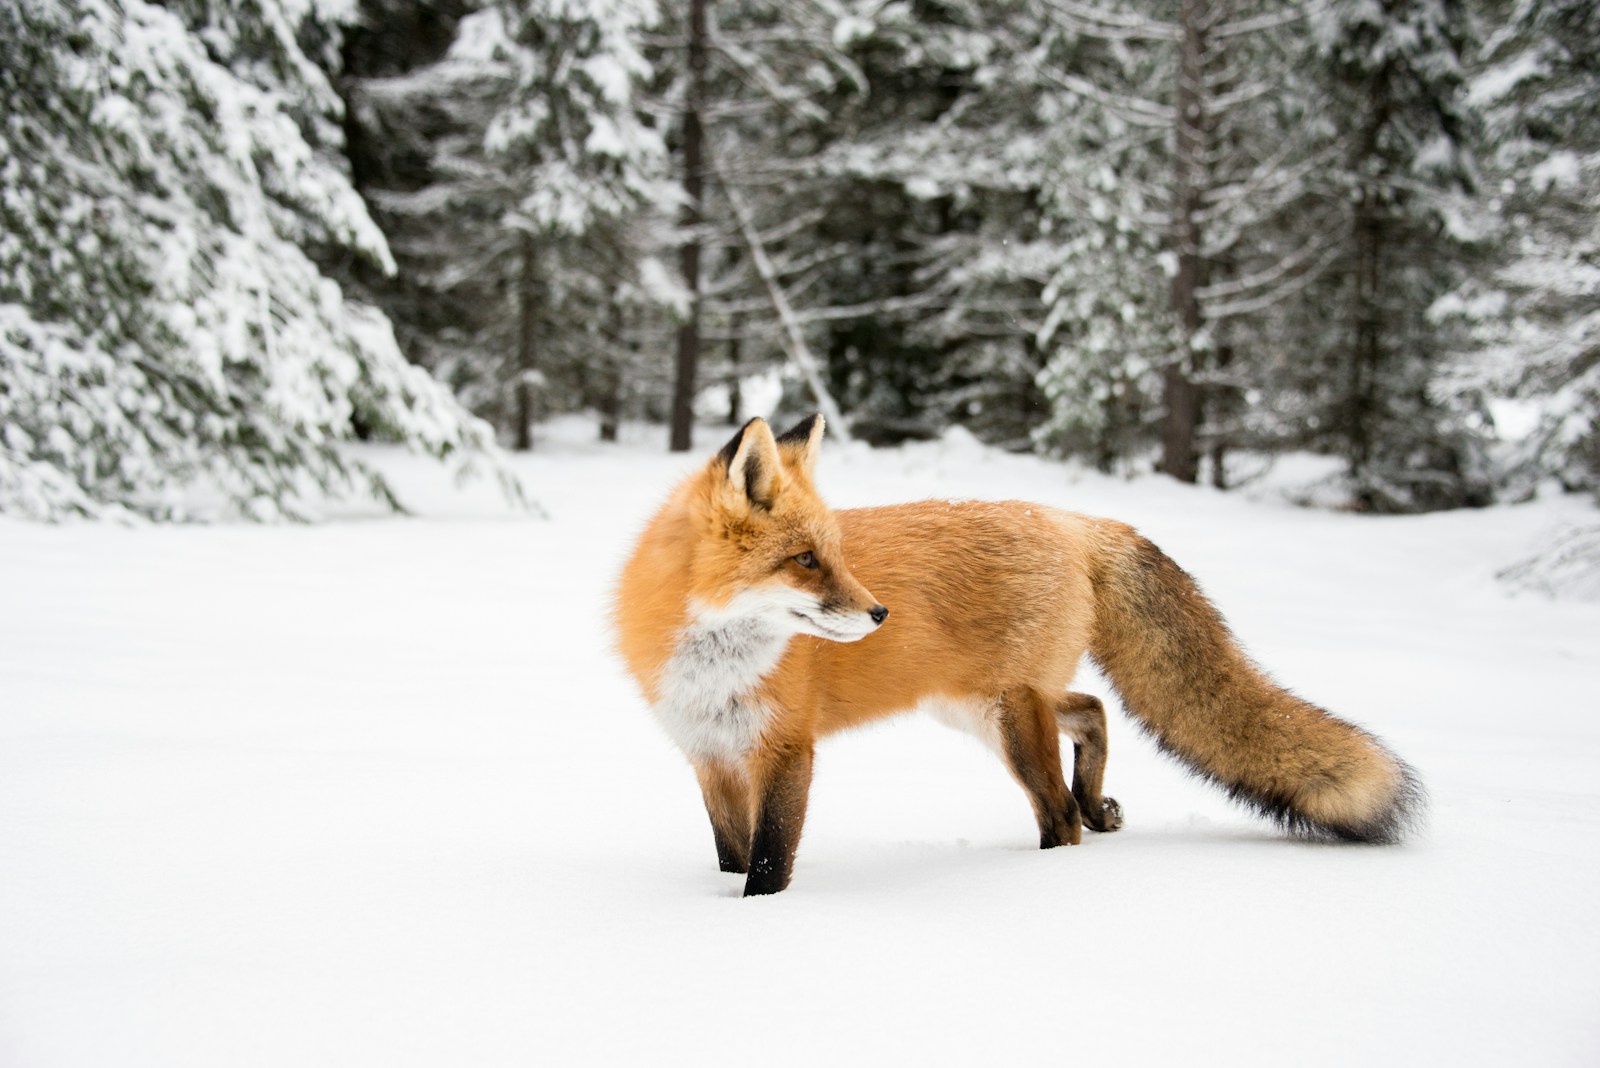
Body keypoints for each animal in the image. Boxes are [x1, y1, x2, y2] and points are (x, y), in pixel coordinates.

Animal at [611, 412, 1427, 895]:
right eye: (806, 561)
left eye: (834, 555)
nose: (879, 613)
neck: (716, 666)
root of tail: (1072, 520)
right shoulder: (710, 756)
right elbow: (730, 852)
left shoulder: (786, 751)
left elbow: (769, 861)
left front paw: (757, 921)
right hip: (980, 706)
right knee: (1093, 710)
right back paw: (1098, 804)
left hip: (1008, 717)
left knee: (1059, 812)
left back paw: (1045, 870)